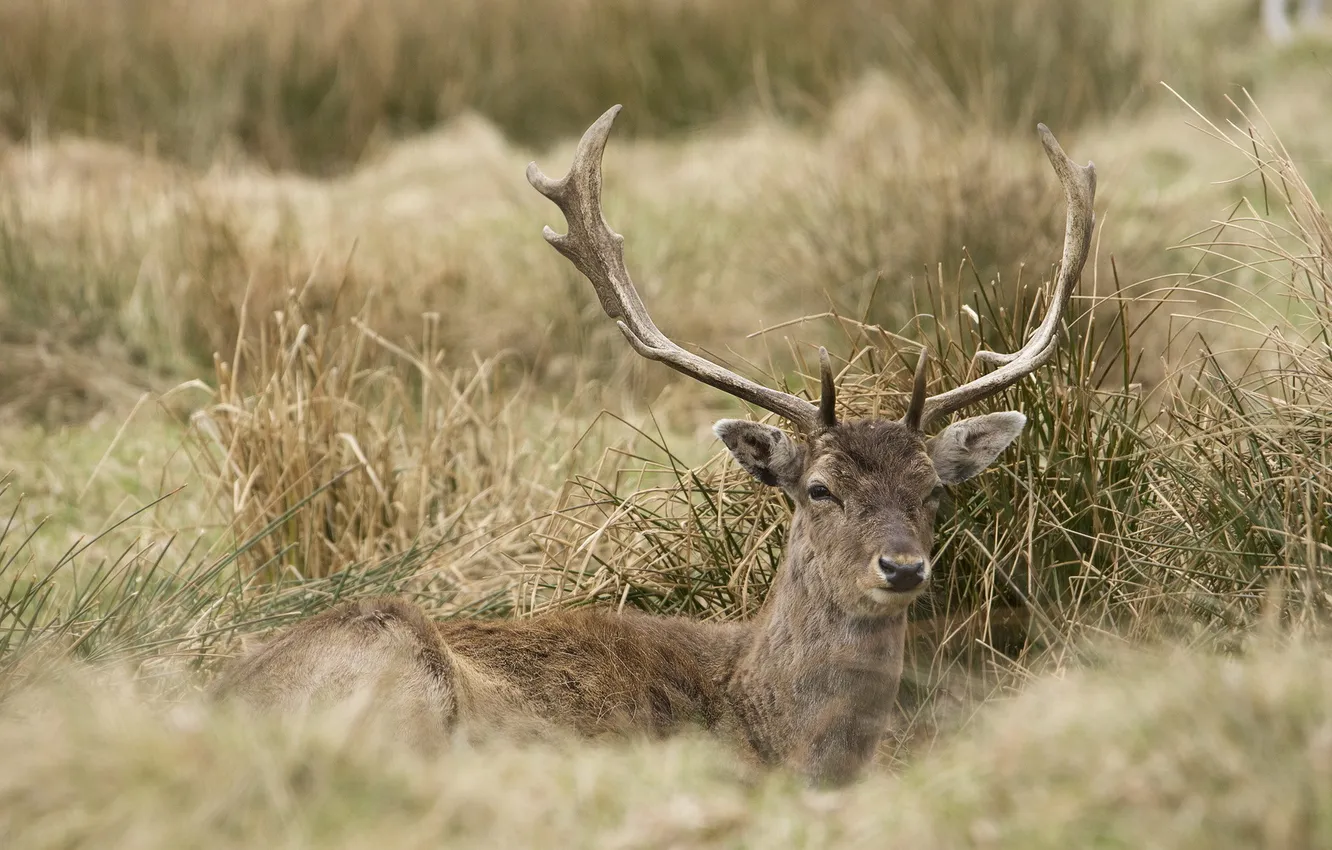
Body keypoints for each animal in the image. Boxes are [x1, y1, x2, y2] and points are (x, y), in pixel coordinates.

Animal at [210, 105, 1092, 788]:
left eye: (933, 489)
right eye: (819, 489)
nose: (902, 567)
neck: (768, 726)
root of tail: (215, 704)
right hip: (393, 666)